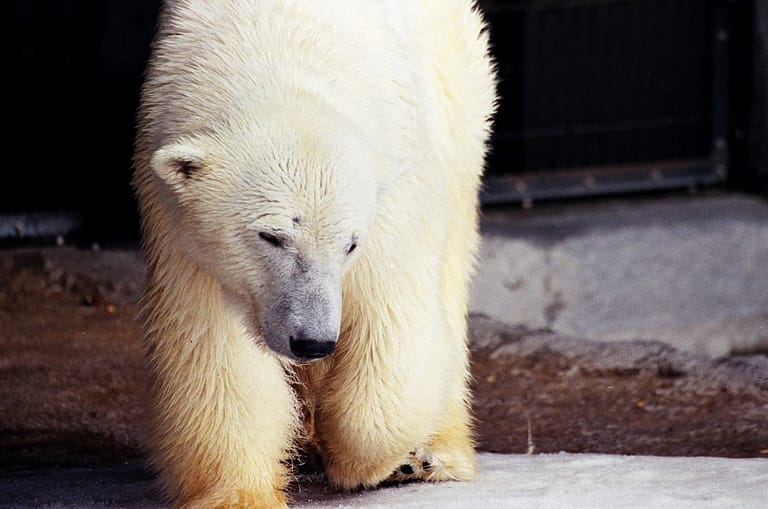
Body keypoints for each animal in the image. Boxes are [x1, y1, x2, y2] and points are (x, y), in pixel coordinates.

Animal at [132, 1, 498, 506]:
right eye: (271, 236)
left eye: (350, 244)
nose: (313, 341)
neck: (278, 46)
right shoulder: (176, 216)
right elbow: (216, 350)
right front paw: (241, 493)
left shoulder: (393, 190)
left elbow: (392, 319)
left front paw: (361, 461)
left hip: (458, 100)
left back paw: (432, 455)